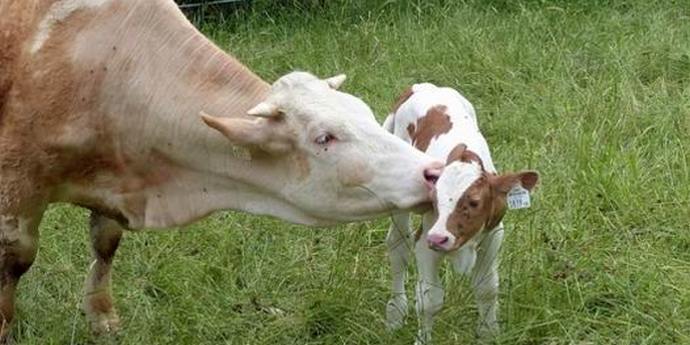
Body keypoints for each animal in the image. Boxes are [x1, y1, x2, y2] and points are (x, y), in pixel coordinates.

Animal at [0, 0, 440, 338]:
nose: (433, 171)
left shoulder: (114, 181)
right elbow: (17, 258)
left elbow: (105, 243)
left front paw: (101, 315)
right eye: (324, 137)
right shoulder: (17, 182)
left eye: (363, 111)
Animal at [382, 82, 536, 342]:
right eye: (434, 200)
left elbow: (486, 289)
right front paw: (422, 340)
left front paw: (488, 334)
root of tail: (421, 86)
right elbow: (429, 299)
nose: (439, 238)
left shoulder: (493, 235)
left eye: (474, 202)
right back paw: (395, 312)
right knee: (398, 247)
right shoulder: (425, 240)